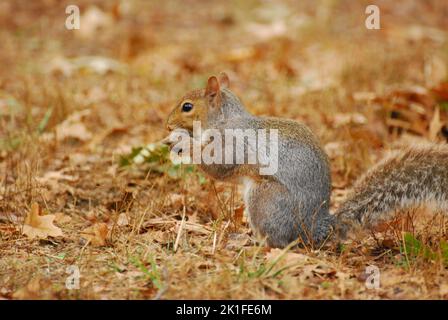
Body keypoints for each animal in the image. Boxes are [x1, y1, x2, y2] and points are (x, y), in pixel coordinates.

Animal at [165, 72, 448, 248]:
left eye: (187, 107)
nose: (167, 124)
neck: (224, 119)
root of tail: (313, 228)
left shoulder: (232, 142)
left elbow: (218, 166)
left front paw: (183, 143)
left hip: (265, 199)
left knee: (280, 242)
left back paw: (253, 244)